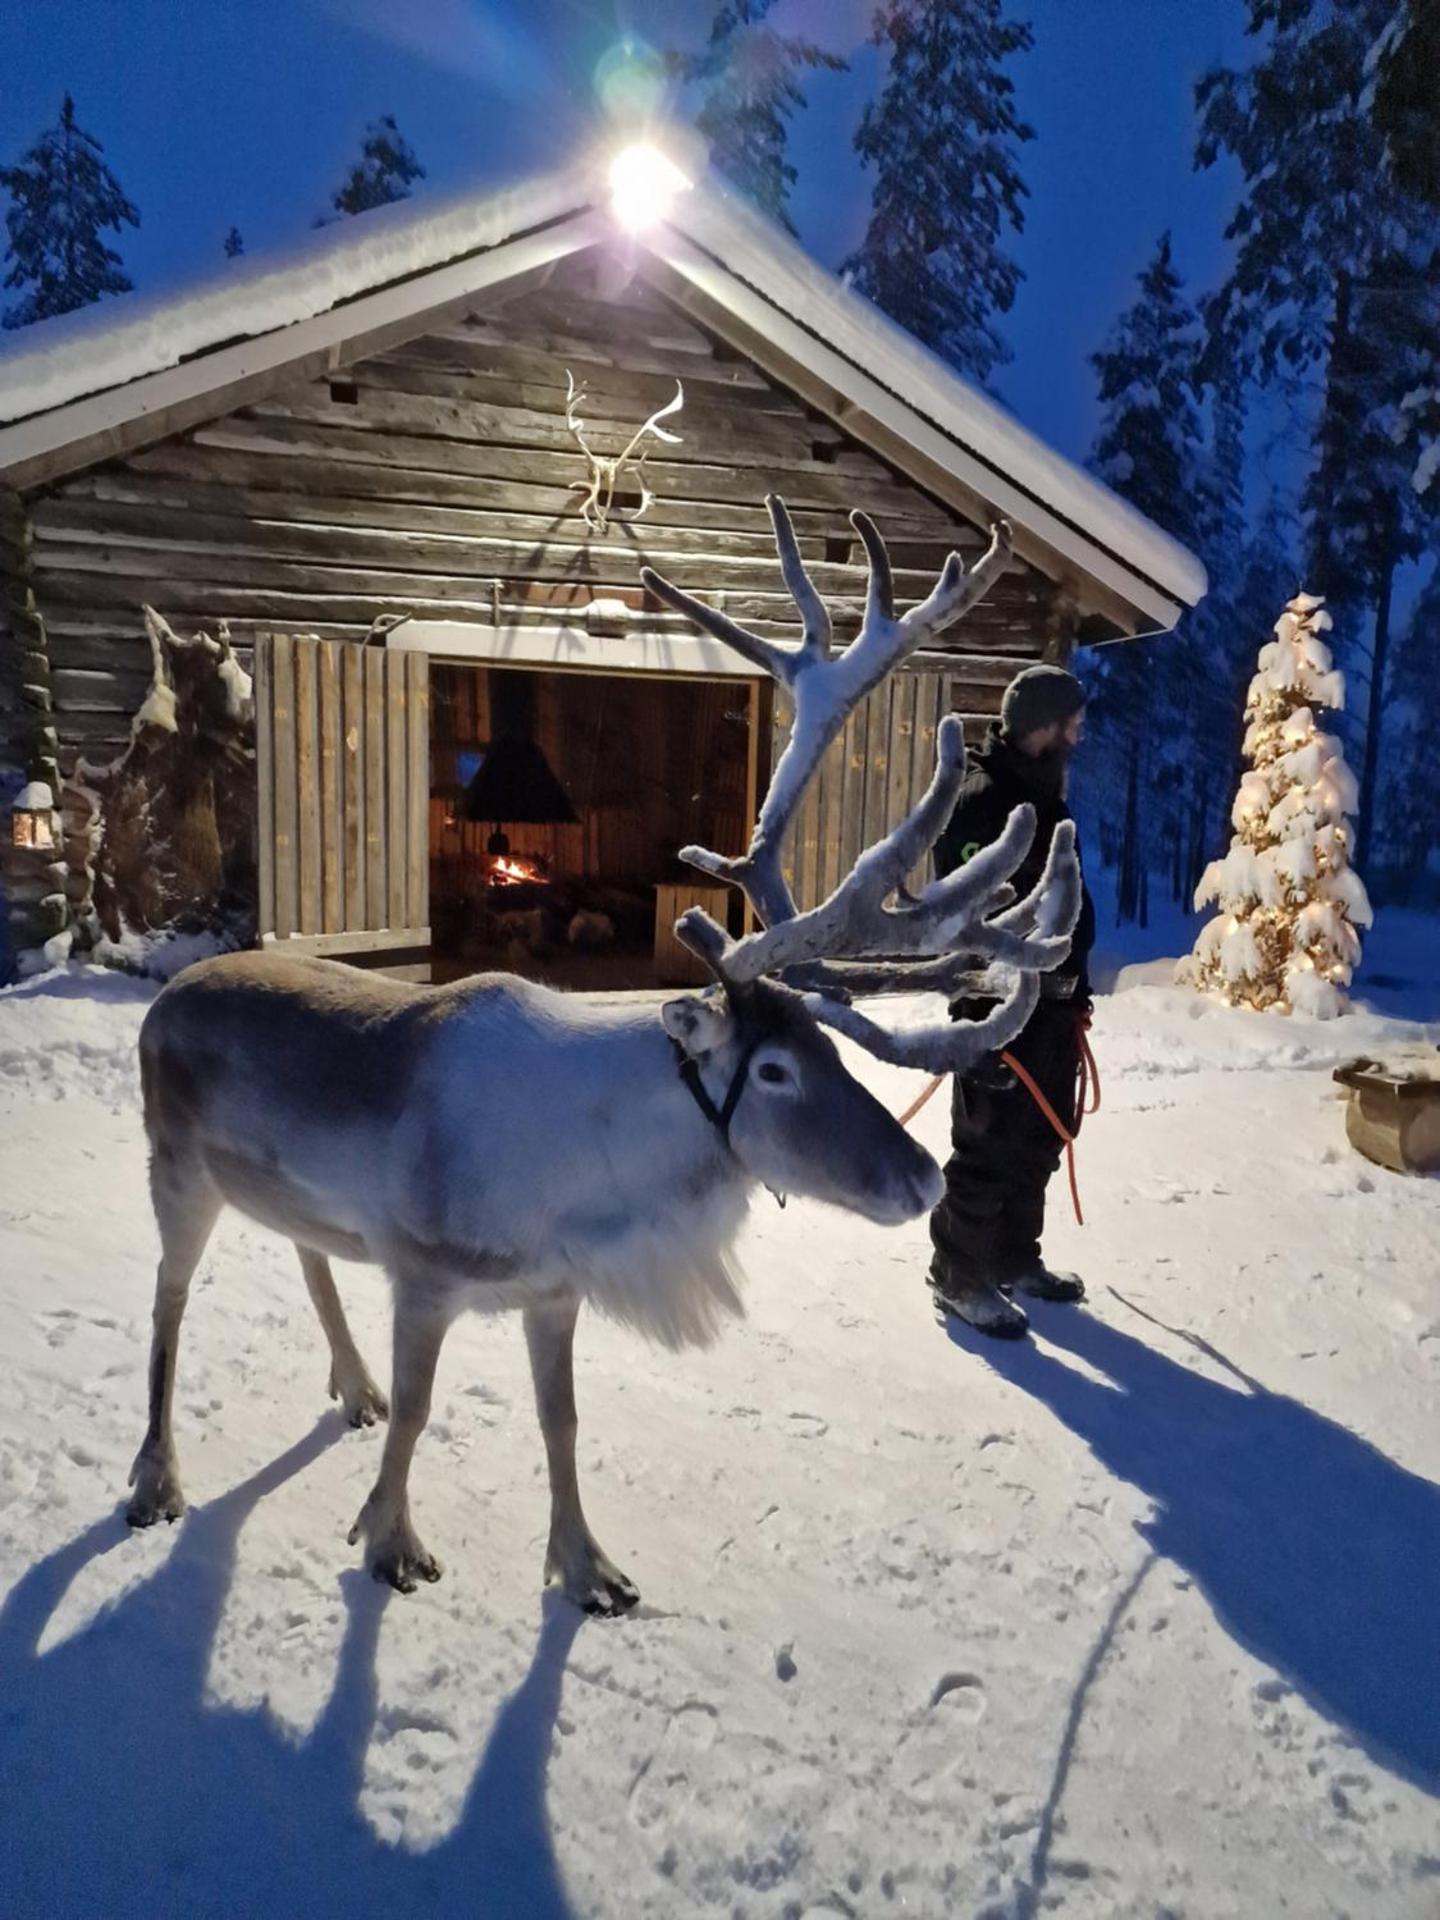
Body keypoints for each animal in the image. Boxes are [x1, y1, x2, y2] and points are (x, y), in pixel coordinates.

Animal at [126, 498, 1081, 1615]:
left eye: (828, 1048)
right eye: (774, 1069)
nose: (923, 1175)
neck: (592, 1184)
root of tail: (167, 1000)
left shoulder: (554, 1290)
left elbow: (563, 1422)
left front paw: (588, 1568)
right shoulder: (425, 1274)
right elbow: (422, 1415)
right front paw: (390, 1539)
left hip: (283, 1190)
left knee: (306, 1250)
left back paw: (349, 1388)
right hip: (176, 1170)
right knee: (168, 1303)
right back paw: (156, 1479)